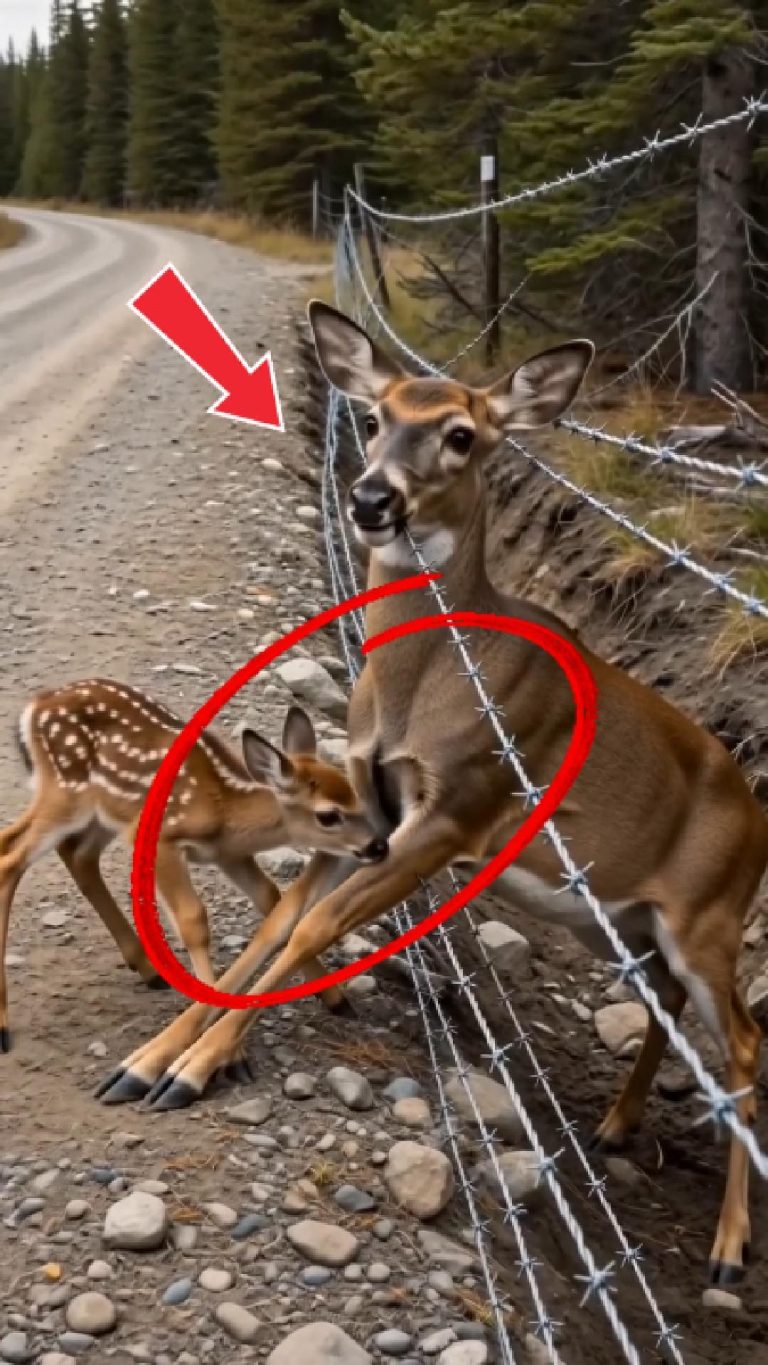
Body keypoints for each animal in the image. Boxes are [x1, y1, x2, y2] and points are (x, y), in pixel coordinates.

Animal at [0, 676, 388, 1056]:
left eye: (355, 793)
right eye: (328, 815)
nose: (379, 845)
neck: (224, 809)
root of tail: (34, 707)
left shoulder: (228, 854)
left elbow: (270, 899)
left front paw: (336, 999)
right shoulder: (165, 839)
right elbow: (193, 920)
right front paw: (230, 1050)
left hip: (104, 812)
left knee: (76, 854)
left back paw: (147, 969)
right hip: (65, 792)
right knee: (11, 854)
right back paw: (4, 1026)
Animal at [96, 303, 767, 1290]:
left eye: (461, 435)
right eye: (373, 418)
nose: (372, 498)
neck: (423, 687)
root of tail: (758, 811)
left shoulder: (456, 811)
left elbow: (311, 928)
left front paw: (195, 1067)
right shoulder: (365, 813)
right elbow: (277, 923)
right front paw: (145, 1062)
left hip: (708, 919)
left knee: (746, 1042)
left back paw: (725, 1251)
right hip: (625, 919)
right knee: (667, 1006)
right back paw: (614, 1128)